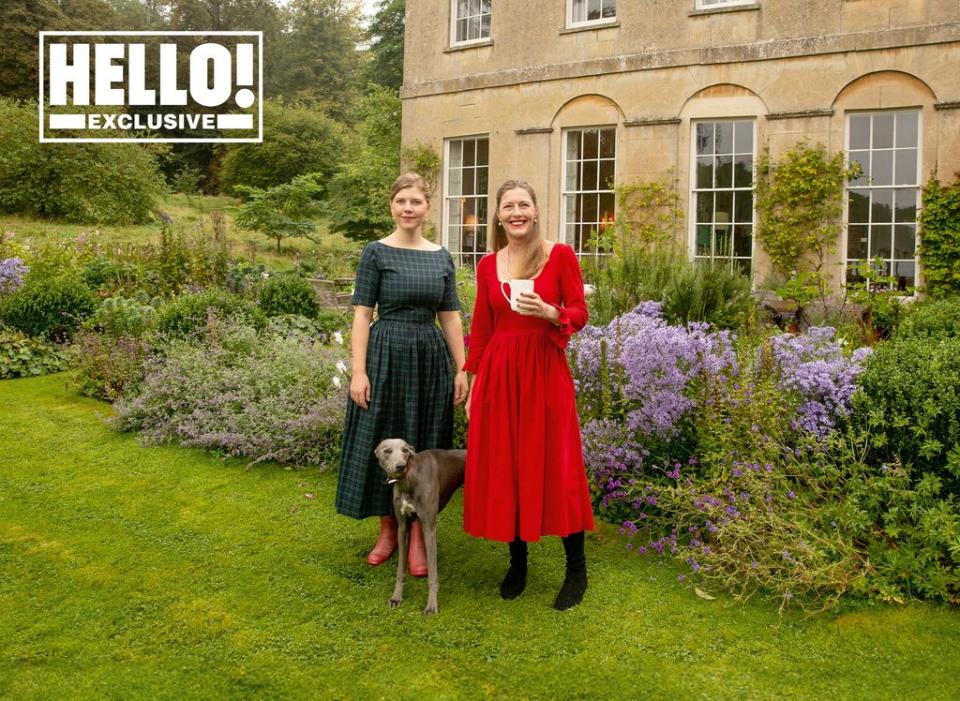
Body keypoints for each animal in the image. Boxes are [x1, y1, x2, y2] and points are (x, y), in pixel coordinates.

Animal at [374, 440, 466, 616]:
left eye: (405, 450)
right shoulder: (403, 527)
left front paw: (431, 605)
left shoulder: (429, 528)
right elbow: (400, 569)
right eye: (387, 451)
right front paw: (396, 597)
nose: (400, 466)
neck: (409, 478)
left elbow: (432, 575)